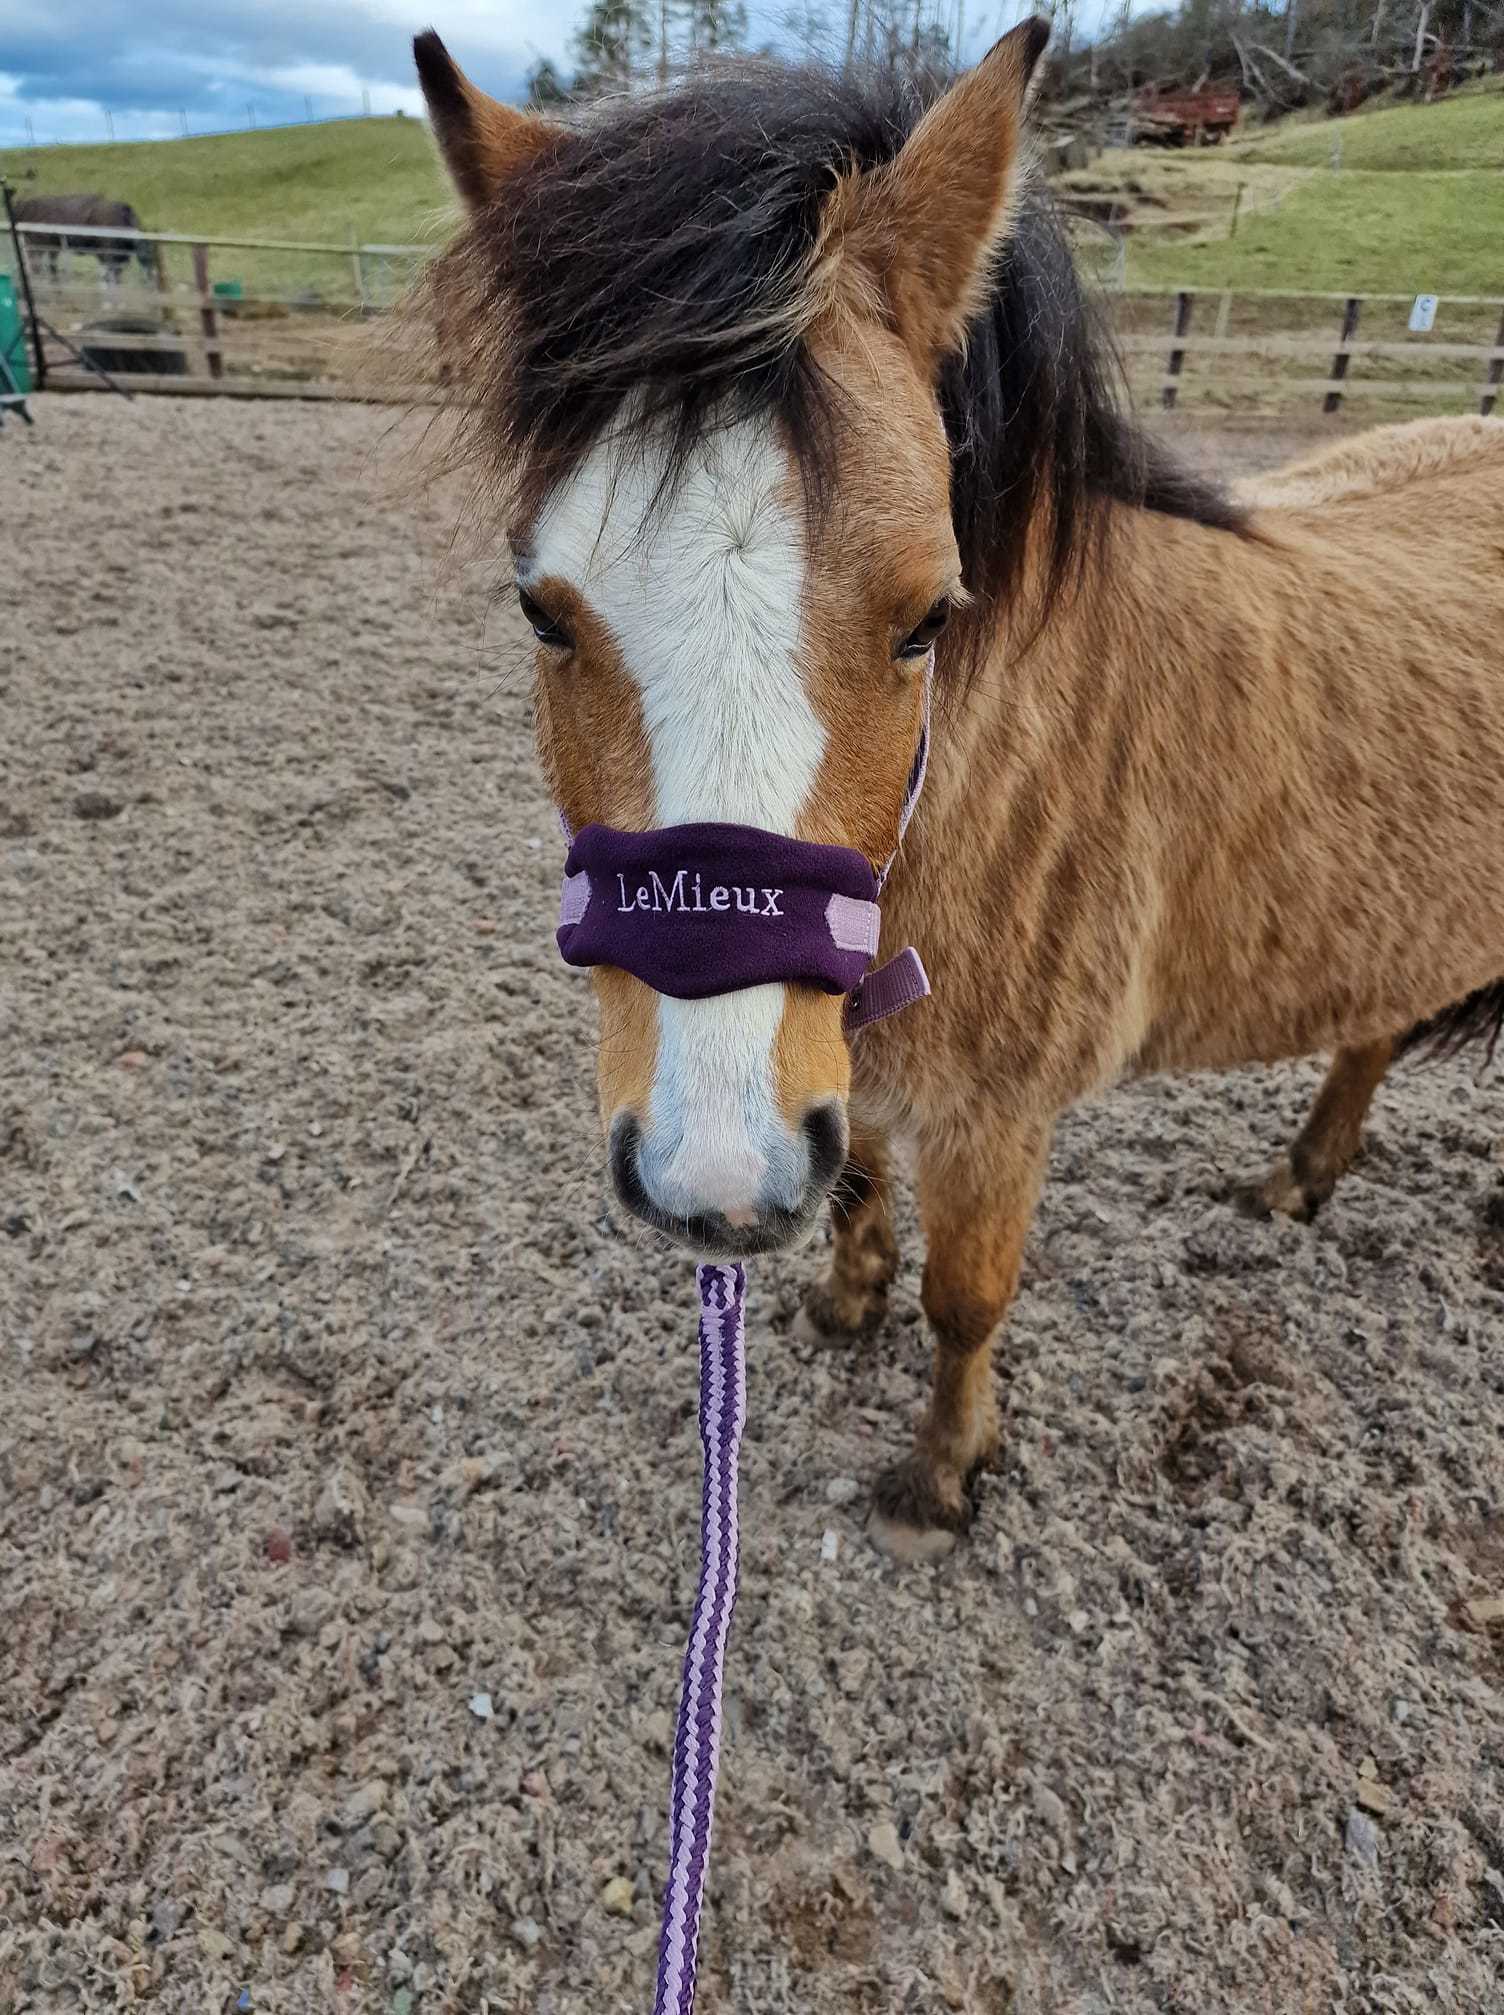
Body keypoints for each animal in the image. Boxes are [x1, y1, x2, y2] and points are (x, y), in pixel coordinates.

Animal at [409, 19, 1499, 1555]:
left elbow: (966, 1296)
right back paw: (1300, 1177)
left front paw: (942, 1473)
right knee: (1376, 1022)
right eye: (541, 609)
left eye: (928, 616)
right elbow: (861, 1174)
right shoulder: (848, 1054)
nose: (715, 1180)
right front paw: (843, 1297)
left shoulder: (1000, 1114)